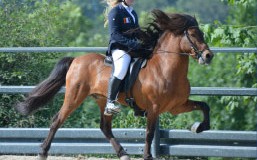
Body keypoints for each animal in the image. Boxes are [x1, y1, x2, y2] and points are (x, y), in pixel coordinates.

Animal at [15, 9, 213, 159]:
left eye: (202, 34)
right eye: (193, 35)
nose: (208, 56)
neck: (165, 69)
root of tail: (76, 60)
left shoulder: (176, 106)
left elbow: (205, 106)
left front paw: (199, 127)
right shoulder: (154, 108)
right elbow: (149, 133)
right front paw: (147, 156)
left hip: (102, 99)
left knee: (105, 127)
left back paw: (123, 153)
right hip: (74, 96)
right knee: (57, 120)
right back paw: (42, 152)